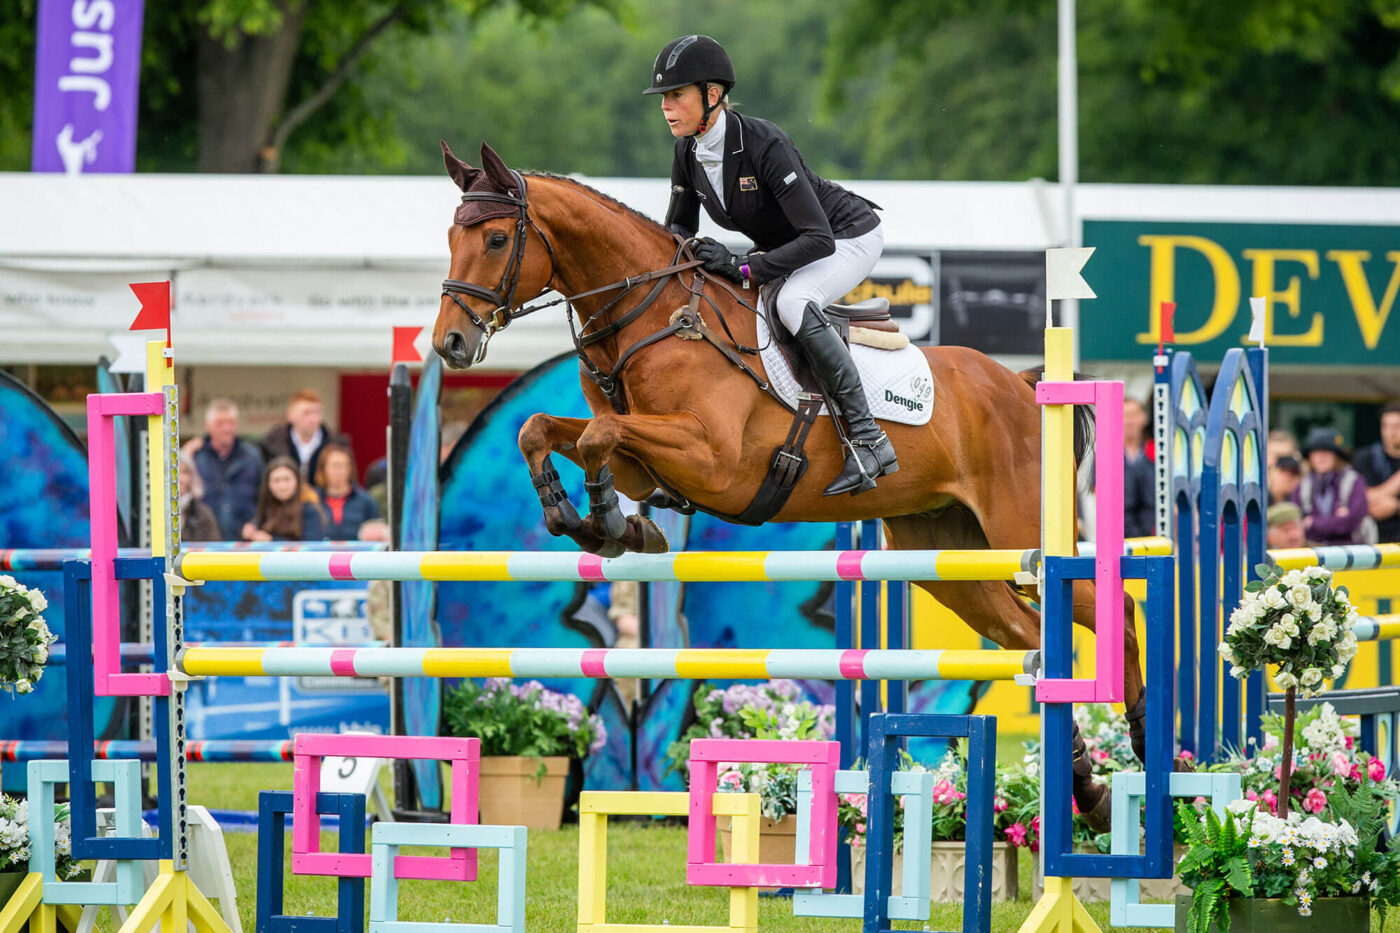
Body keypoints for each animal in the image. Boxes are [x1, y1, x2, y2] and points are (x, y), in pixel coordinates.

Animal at [431, 141, 1142, 818]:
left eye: (496, 240)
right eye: (452, 238)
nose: (450, 345)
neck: (651, 315)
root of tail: (1022, 386)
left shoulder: (713, 460)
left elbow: (600, 437)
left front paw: (608, 522)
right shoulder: (645, 449)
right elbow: (548, 430)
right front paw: (580, 517)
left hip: (1022, 536)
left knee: (1116, 608)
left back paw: (1136, 738)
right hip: (946, 560)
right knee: (1029, 638)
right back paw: (1089, 789)